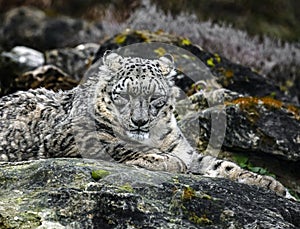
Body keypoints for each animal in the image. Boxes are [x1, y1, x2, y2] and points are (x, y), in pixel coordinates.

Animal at [0, 52, 296, 199]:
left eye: (155, 98)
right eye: (124, 95)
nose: (139, 121)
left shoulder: (184, 149)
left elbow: (220, 165)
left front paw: (270, 184)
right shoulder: (76, 136)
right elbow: (122, 145)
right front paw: (165, 161)